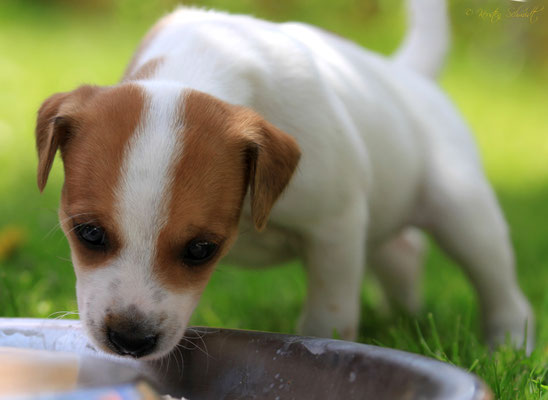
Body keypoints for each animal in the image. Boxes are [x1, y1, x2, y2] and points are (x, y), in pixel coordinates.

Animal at [34, 0, 532, 358]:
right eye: (89, 233)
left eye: (201, 250)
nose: (130, 341)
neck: (202, 62)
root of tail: (405, 73)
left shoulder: (335, 230)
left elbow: (327, 318)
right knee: (405, 253)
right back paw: (404, 319)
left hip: (463, 213)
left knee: (500, 287)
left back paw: (511, 345)